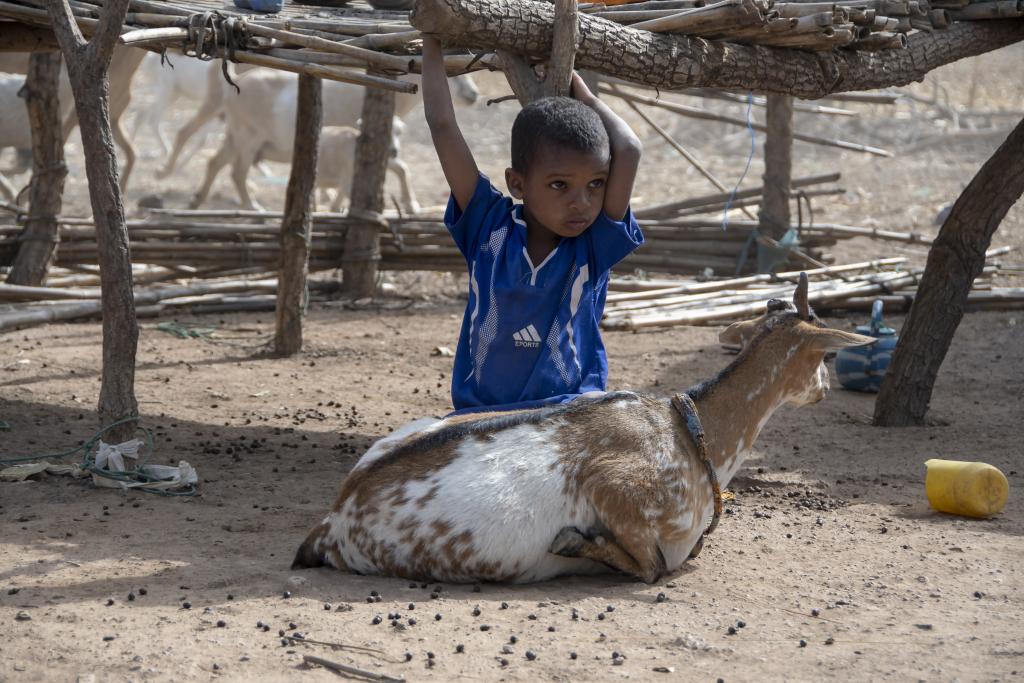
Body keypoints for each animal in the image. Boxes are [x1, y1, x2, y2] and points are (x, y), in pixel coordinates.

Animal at [183, 70, 479, 211]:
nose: (473, 95)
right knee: (237, 172)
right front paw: (412, 204)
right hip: (248, 136)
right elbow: (401, 167)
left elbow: (399, 167)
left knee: (214, 162)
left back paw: (197, 199)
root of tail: (233, 84)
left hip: (236, 134)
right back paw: (252, 206)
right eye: (452, 76)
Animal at [294, 274, 872, 585]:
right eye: (826, 353)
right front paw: (576, 541)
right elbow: (649, 566)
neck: (691, 433)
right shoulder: (618, 490)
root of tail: (334, 518)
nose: (823, 389)